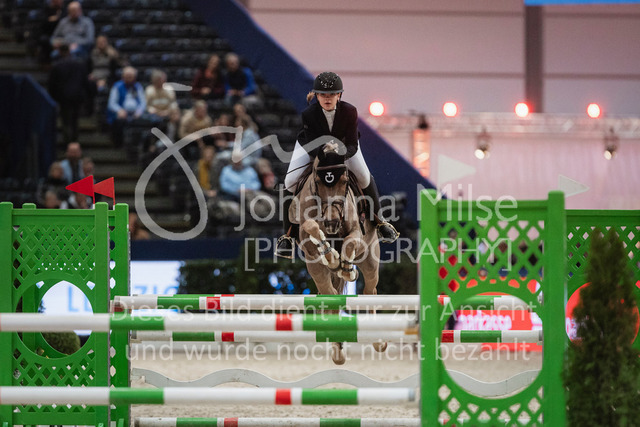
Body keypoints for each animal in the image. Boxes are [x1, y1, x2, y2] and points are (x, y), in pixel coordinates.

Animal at [290, 142, 386, 364]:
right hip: (315, 270)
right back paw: (337, 350)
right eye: (318, 182)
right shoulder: (306, 236)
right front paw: (332, 257)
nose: (332, 223)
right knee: (331, 295)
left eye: (344, 182)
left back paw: (378, 341)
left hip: (370, 261)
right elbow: (310, 227)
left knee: (370, 290)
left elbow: (349, 245)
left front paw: (346, 269)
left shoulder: (357, 232)